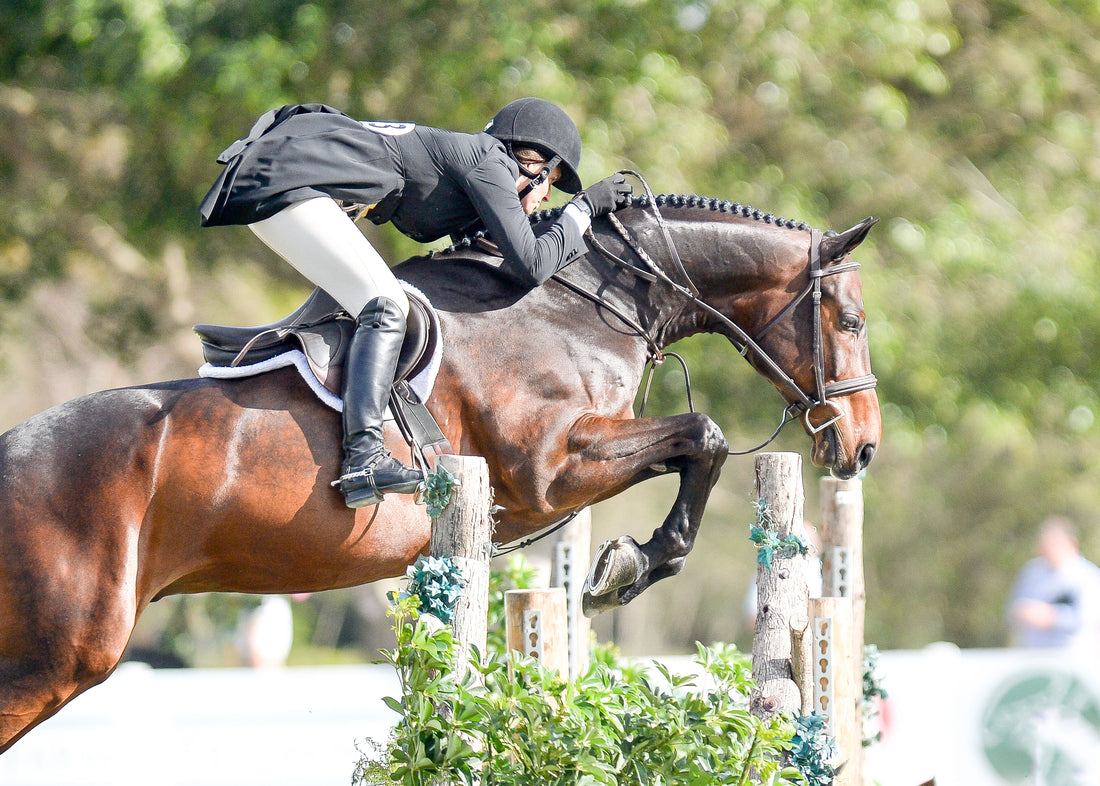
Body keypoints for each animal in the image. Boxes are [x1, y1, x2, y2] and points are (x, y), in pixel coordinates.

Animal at [0, 193, 880, 751]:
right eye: (850, 319)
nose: (862, 447)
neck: (584, 304)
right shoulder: (553, 467)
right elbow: (706, 436)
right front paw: (628, 567)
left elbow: (695, 446)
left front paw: (626, 564)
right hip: (63, 652)